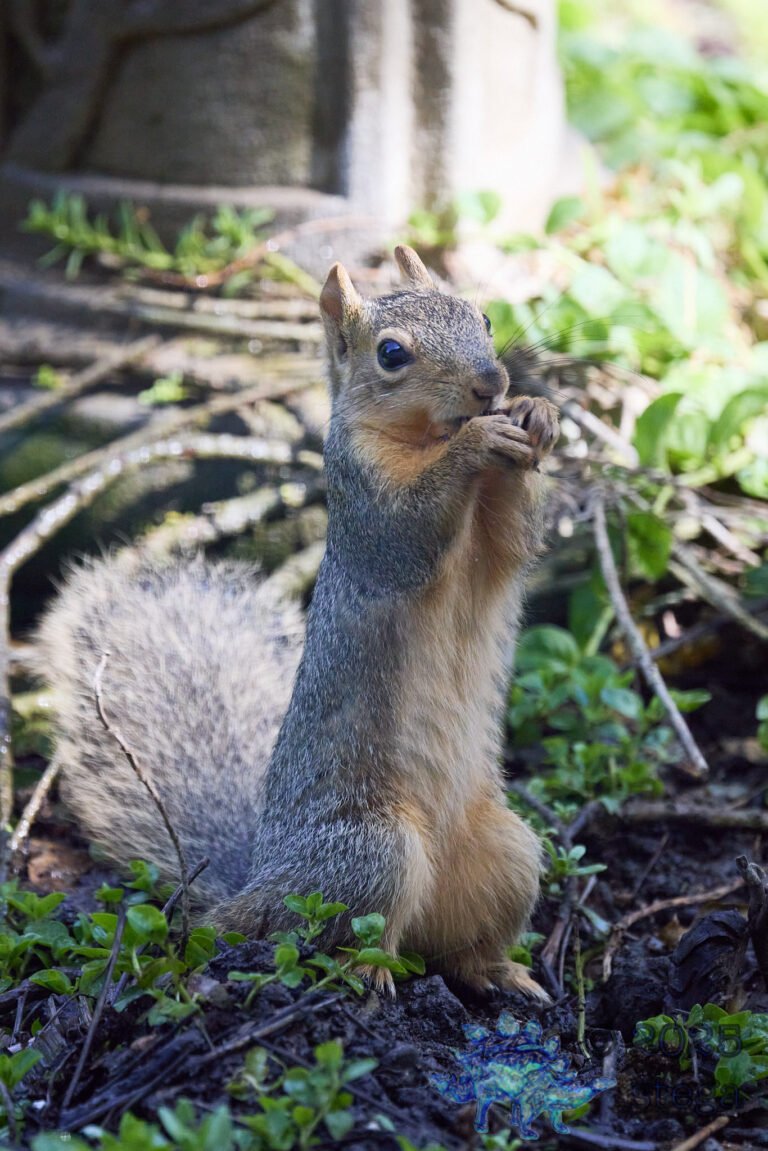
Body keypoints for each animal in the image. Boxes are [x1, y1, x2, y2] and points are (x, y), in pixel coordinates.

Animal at [35, 246, 559, 999]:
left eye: (483, 317)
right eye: (391, 353)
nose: (491, 385)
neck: (429, 437)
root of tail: (257, 883)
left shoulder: (494, 546)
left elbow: (516, 544)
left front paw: (537, 414)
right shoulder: (362, 500)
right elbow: (407, 535)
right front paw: (482, 439)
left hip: (507, 851)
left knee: (453, 950)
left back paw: (503, 974)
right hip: (371, 850)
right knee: (350, 937)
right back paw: (367, 975)